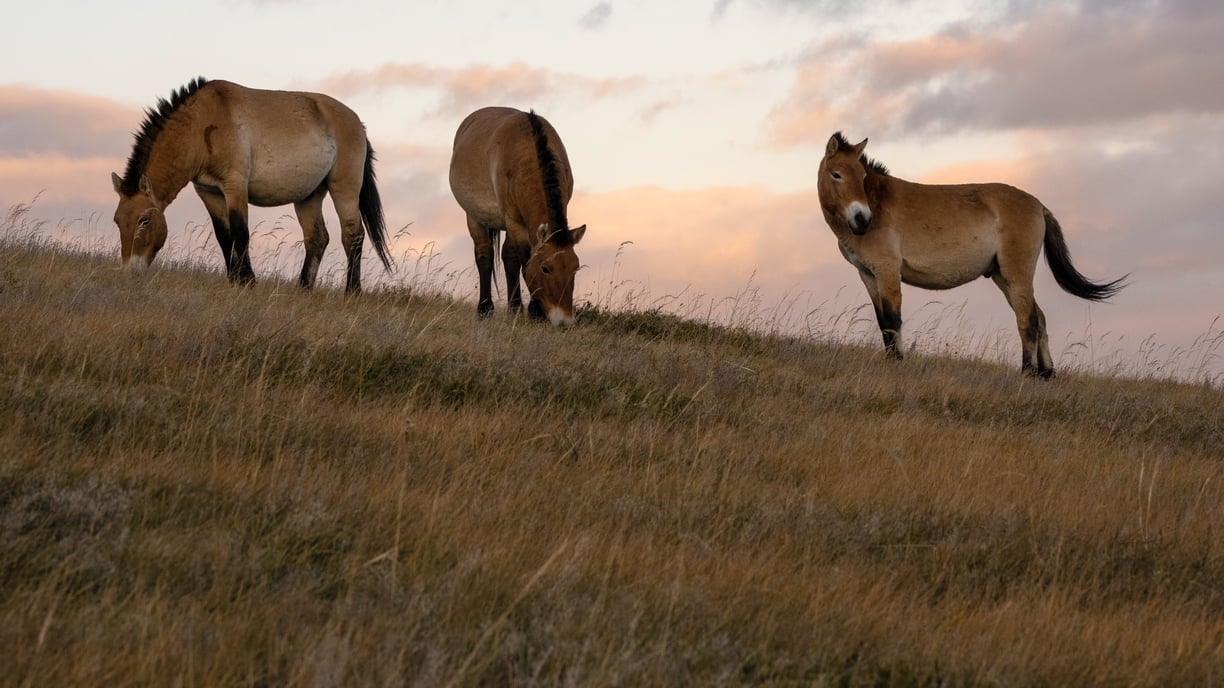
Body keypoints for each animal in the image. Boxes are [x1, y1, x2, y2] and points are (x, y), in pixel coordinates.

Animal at [111, 77, 392, 293]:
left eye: (144, 220)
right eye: (117, 221)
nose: (130, 271)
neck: (203, 125)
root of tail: (358, 124)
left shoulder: (235, 186)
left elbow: (240, 232)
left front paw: (247, 281)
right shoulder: (209, 192)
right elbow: (224, 236)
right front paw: (233, 279)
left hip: (344, 189)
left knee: (353, 235)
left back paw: (352, 291)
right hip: (309, 196)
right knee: (317, 238)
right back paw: (303, 288)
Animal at [449, 107, 586, 328]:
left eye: (575, 268)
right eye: (546, 269)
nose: (564, 321)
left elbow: (514, 260)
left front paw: (523, 310)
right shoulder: (513, 221)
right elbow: (525, 261)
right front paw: (534, 311)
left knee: (507, 257)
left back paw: (514, 308)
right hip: (475, 217)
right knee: (484, 256)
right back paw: (485, 308)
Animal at [817, 132, 1126, 378]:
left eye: (862, 177)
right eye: (837, 174)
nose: (862, 219)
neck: (878, 204)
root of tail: (1038, 205)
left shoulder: (888, 272)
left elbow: (893, 320)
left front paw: (898, 363)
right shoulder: (868, 275)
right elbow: (883, 322)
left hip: (1017, 275)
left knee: (1027, 319)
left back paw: (1027, 372)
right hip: (1003, 277)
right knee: (1039, 317)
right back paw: (1046, 373)